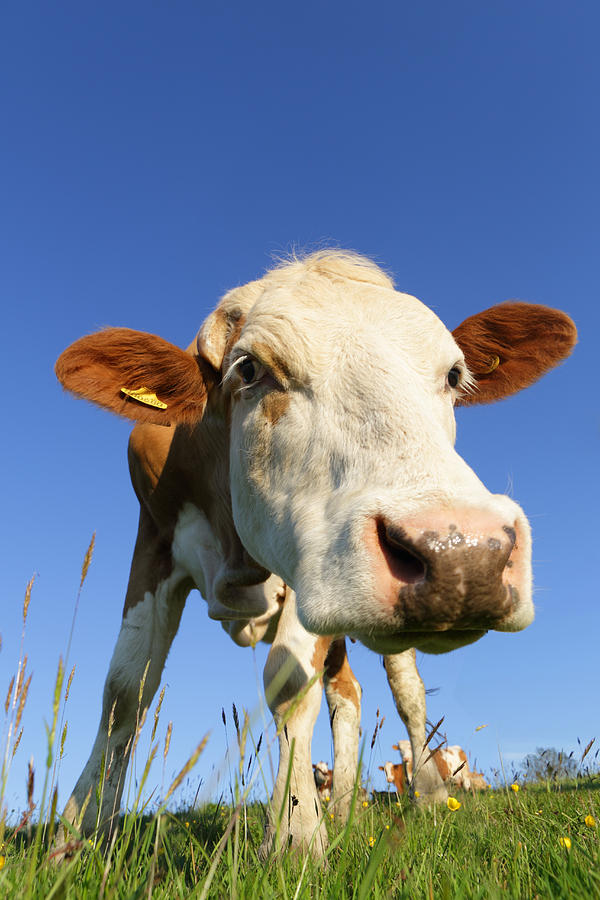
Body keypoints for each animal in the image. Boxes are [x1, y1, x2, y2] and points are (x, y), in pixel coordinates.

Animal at [56, 250, 576, 856]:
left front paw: (294, 837)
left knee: (407, 696)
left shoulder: (308, 572)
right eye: (248, 369)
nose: (467, 553)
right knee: (346, 693)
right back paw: (346, 808)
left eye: (454, 375)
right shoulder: (154, 539)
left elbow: (287, 681)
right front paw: (78, 835)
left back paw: (425, 797)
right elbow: (124, 690)